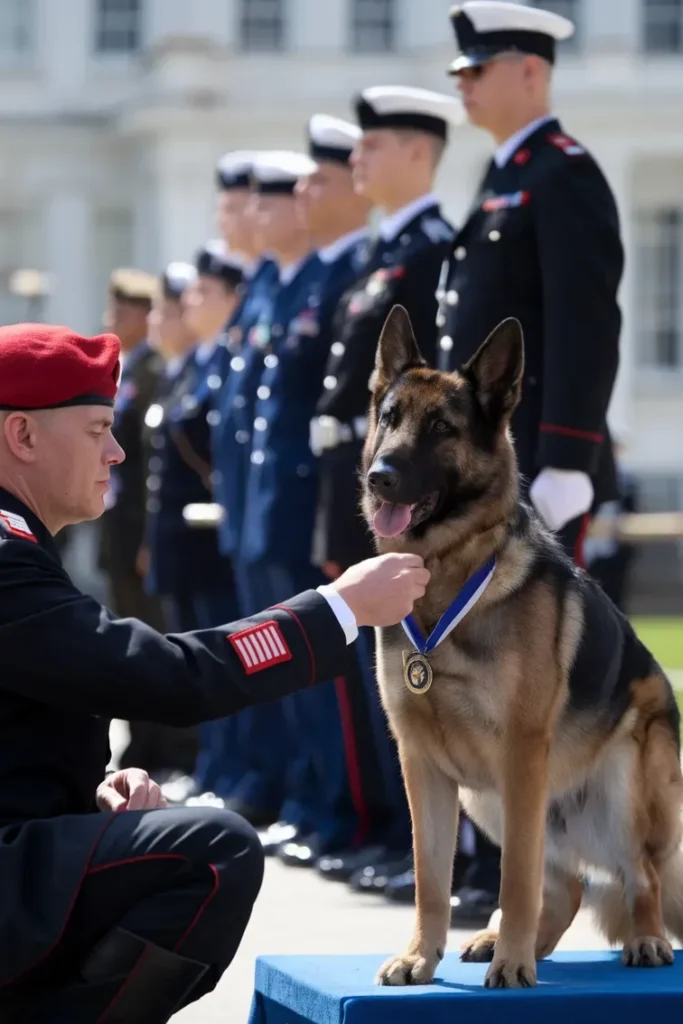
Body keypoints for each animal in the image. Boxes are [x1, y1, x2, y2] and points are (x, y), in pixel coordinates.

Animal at [362, 305, 683, 991]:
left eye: (441, 427)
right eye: (389, 418)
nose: (381, 477)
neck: (450, 576)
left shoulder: (519, 755)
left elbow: (515, 882)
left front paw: (511, 962)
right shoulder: (423, 765)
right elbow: (432, 878)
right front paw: (421, 956)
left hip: (621, 791)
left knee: (638, 875)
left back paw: (640, 939)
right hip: (487, 801)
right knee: (565, 885)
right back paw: (510, 945)